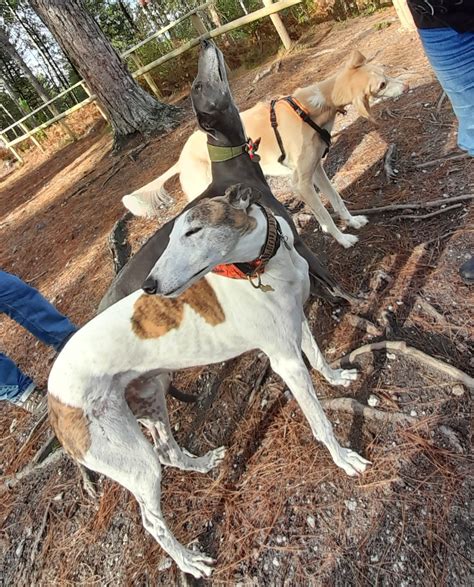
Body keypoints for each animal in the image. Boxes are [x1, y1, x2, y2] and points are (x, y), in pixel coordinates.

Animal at [48, 185, 368, 580]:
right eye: (171, 237)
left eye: (192, 232)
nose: (150, 286)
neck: (262, 269)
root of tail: (52, 393)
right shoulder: (286, 361)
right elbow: (321, 423)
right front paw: (344, 459)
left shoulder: (297, 324)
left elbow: (320, 359)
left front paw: (338, 378)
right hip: (133, 459)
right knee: (152, 521)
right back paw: (189, 561)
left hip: (151, 395)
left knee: (169, 452)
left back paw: (202, 464)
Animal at [122, 51, 408, 249]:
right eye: (381, 85)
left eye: (385, 72)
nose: (406, 86)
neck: (312, 107)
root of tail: (181, 156)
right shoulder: (300, 182)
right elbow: (325, 213)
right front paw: (342, 238)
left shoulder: (316, 170)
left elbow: (336, 200)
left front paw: (352, 222)